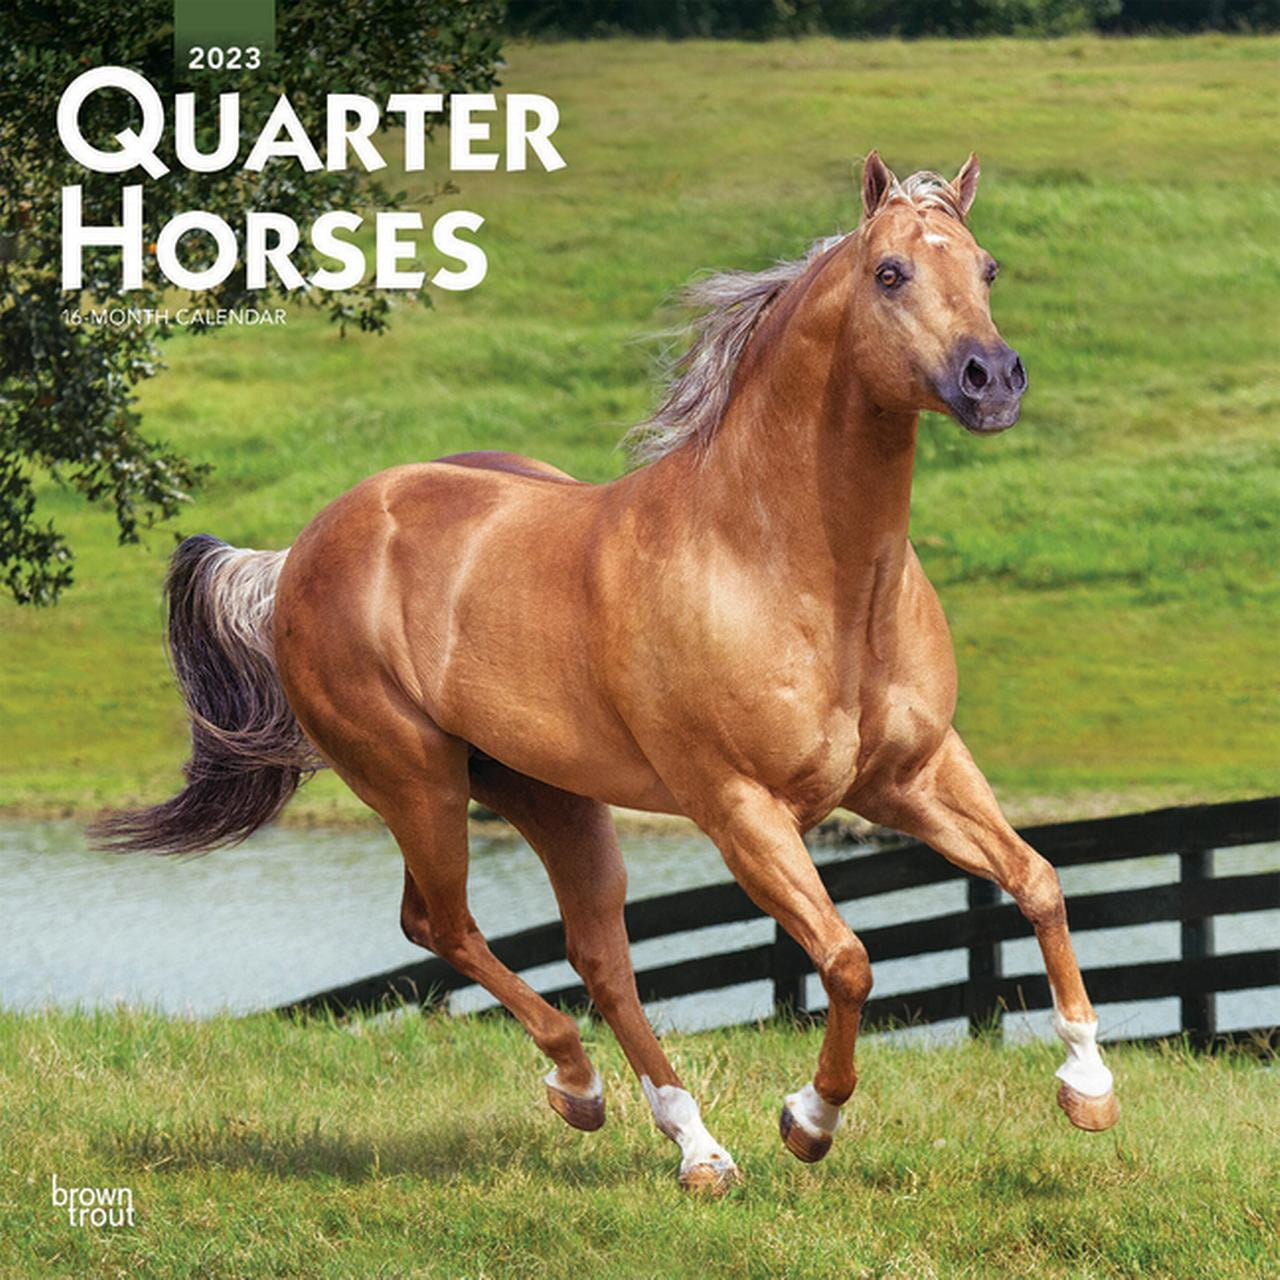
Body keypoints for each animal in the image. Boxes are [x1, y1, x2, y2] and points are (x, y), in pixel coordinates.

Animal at [93, 151, 1118, 1192]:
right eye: (891, 273)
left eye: (986, 269)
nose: (993, 381)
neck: (785, 563)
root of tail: (294, 556)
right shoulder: (740, 808)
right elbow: (847, 959)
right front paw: (807, 1120)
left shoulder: (910, 776)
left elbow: (1038, 880)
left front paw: (1088, 1087)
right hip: (416, 782)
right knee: (442, 926)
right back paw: (580, 1086)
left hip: (553, 797)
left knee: (598, 958)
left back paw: (692, 1144)